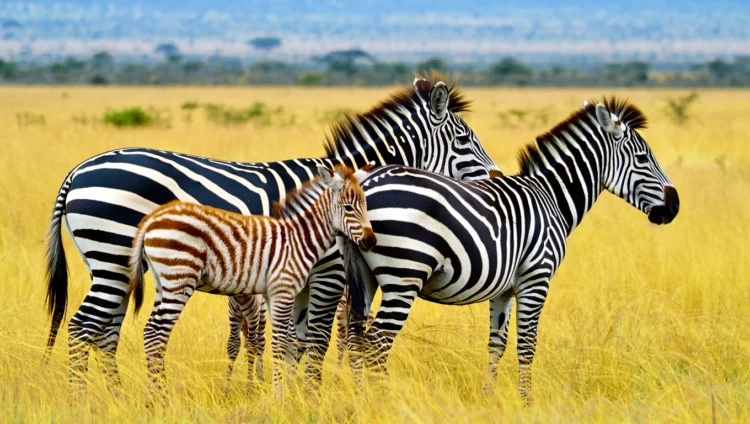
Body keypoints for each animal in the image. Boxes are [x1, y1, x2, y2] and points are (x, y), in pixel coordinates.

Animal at [127, 165, 375, 399]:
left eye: (365, 205)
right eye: (348, 208)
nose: (371, 241)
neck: (298, 239)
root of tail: (150, 220)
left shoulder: (272, 294)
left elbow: (282, 343)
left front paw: (282, 391)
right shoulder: (283, 290)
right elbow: (279, 343)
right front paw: (279, 396)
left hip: (164, 283)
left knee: (150, 332)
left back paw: (153, 396)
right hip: (179, 279)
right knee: (157, 333)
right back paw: (161, 396)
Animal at [342, 98, 680, 405]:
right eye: (642, 158)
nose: (674, 206)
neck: (551, 197)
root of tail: (364, 186)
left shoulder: (504, 289)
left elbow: (497, 343)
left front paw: (488, 398)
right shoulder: (536, 279)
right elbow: (527, 344)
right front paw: (527, 402)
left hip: (366, 276)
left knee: (355, 338)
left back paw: (360, 401)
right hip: (404, 275)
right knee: (377, 342)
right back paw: (385, 403)